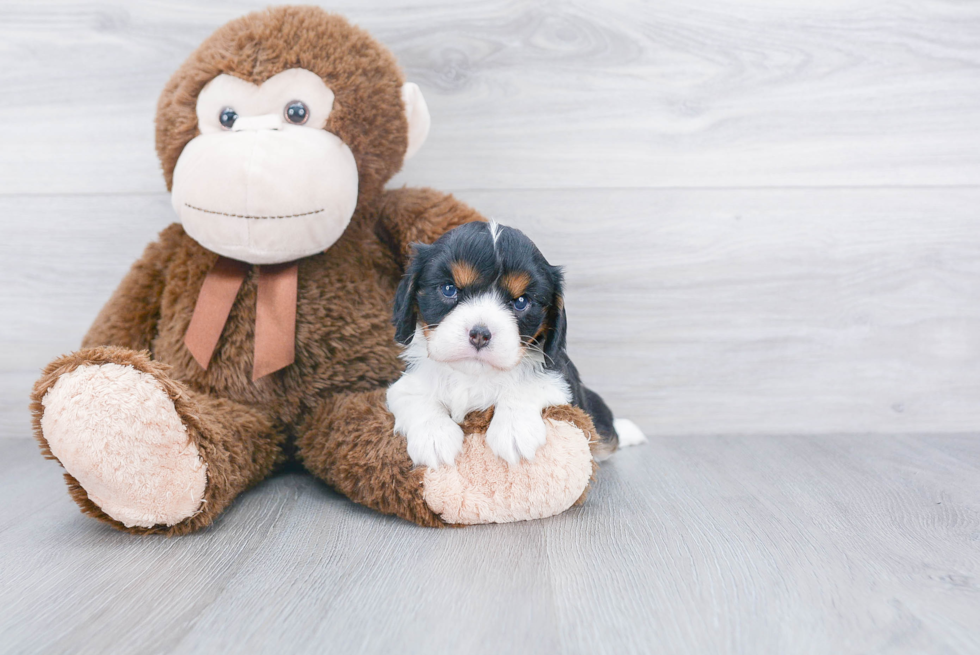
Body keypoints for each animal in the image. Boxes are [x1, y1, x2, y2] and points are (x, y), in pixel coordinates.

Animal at [386, 223, 648, 468]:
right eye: (449, 289)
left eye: (521, 302)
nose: (480, 334)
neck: (473, 376)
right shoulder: (406, 383)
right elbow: (413, 396)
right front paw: (434, 436)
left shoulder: (562, 381)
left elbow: (529, 385)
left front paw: (513, 431)